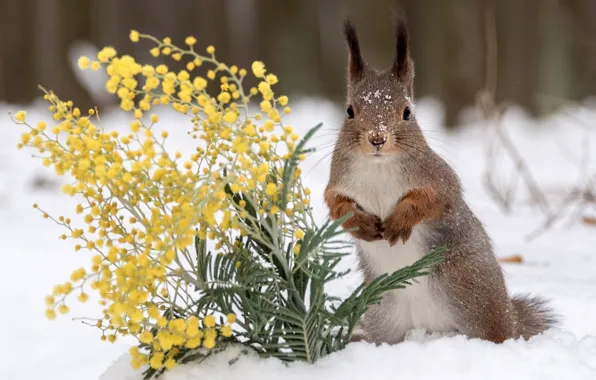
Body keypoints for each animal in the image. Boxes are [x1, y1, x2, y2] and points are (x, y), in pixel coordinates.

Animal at [324, 17, 556, 344]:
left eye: (407, 112)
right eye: (349, 111)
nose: (377, 138)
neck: (379, 167)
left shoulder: (440, 180)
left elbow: (433, 201)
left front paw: (400, 221)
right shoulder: (337, 183)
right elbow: (336, 206)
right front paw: (362, 224)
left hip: (470, 291)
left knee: (496, 332)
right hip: (384, 313)